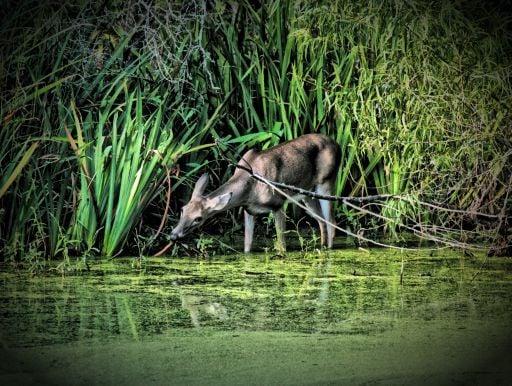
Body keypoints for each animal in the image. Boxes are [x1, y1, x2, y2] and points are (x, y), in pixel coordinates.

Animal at [170, 133, 342, 253]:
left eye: (198, 218)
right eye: (182, 210)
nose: (173, 235)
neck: (249, 191)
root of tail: (338, 144)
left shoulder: (278, 204)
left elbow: (282, 245)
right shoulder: (249, 210)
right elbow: (247, 245)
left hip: (326, 182)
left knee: (331, 222)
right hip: (307, 194)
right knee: (321, 221)